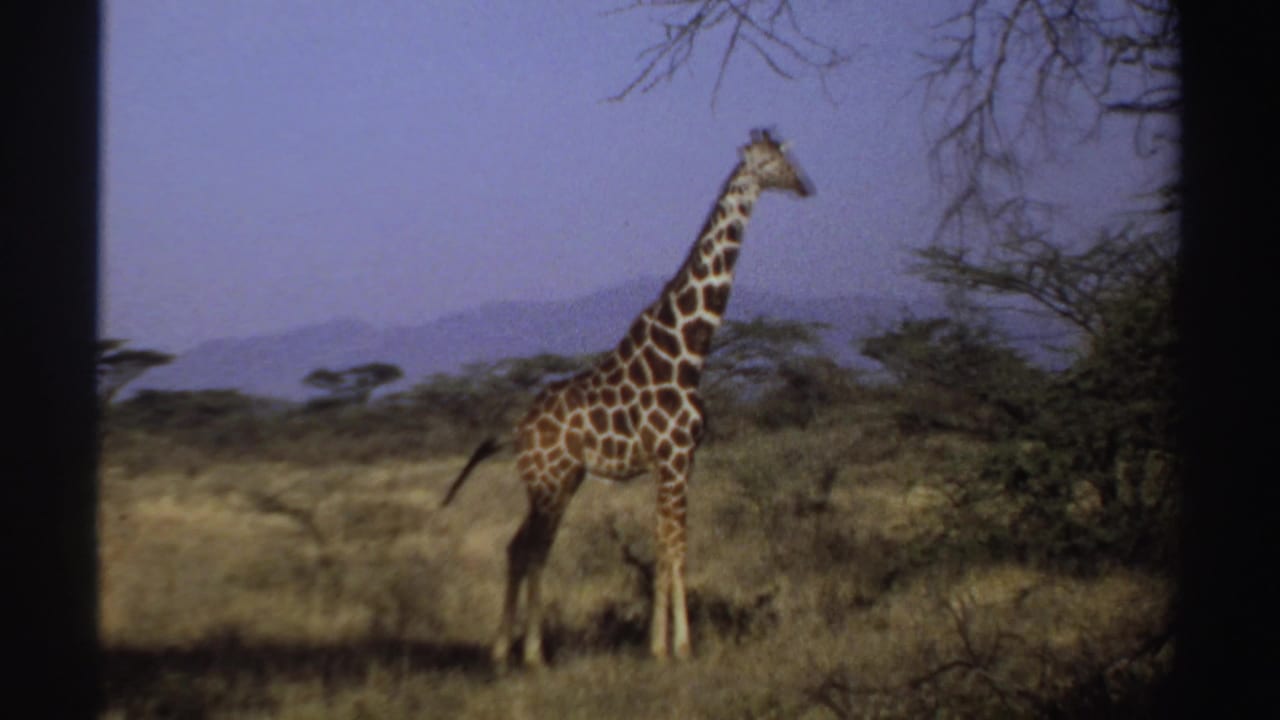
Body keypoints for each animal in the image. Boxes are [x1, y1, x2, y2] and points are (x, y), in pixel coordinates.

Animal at [440, 128, 812, 667]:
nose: (804, 186)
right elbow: (674, 548)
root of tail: (517, 431)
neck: (687, 352)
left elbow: (668, 546)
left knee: (521, 548)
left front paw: (664, 643)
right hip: (548, 484)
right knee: (531, 550)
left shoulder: (681, 460)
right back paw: (529, 652)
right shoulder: (672, 457)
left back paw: (508, 652)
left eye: (784, 156)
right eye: (766, 163)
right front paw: (674, 646)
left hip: (561, 482)